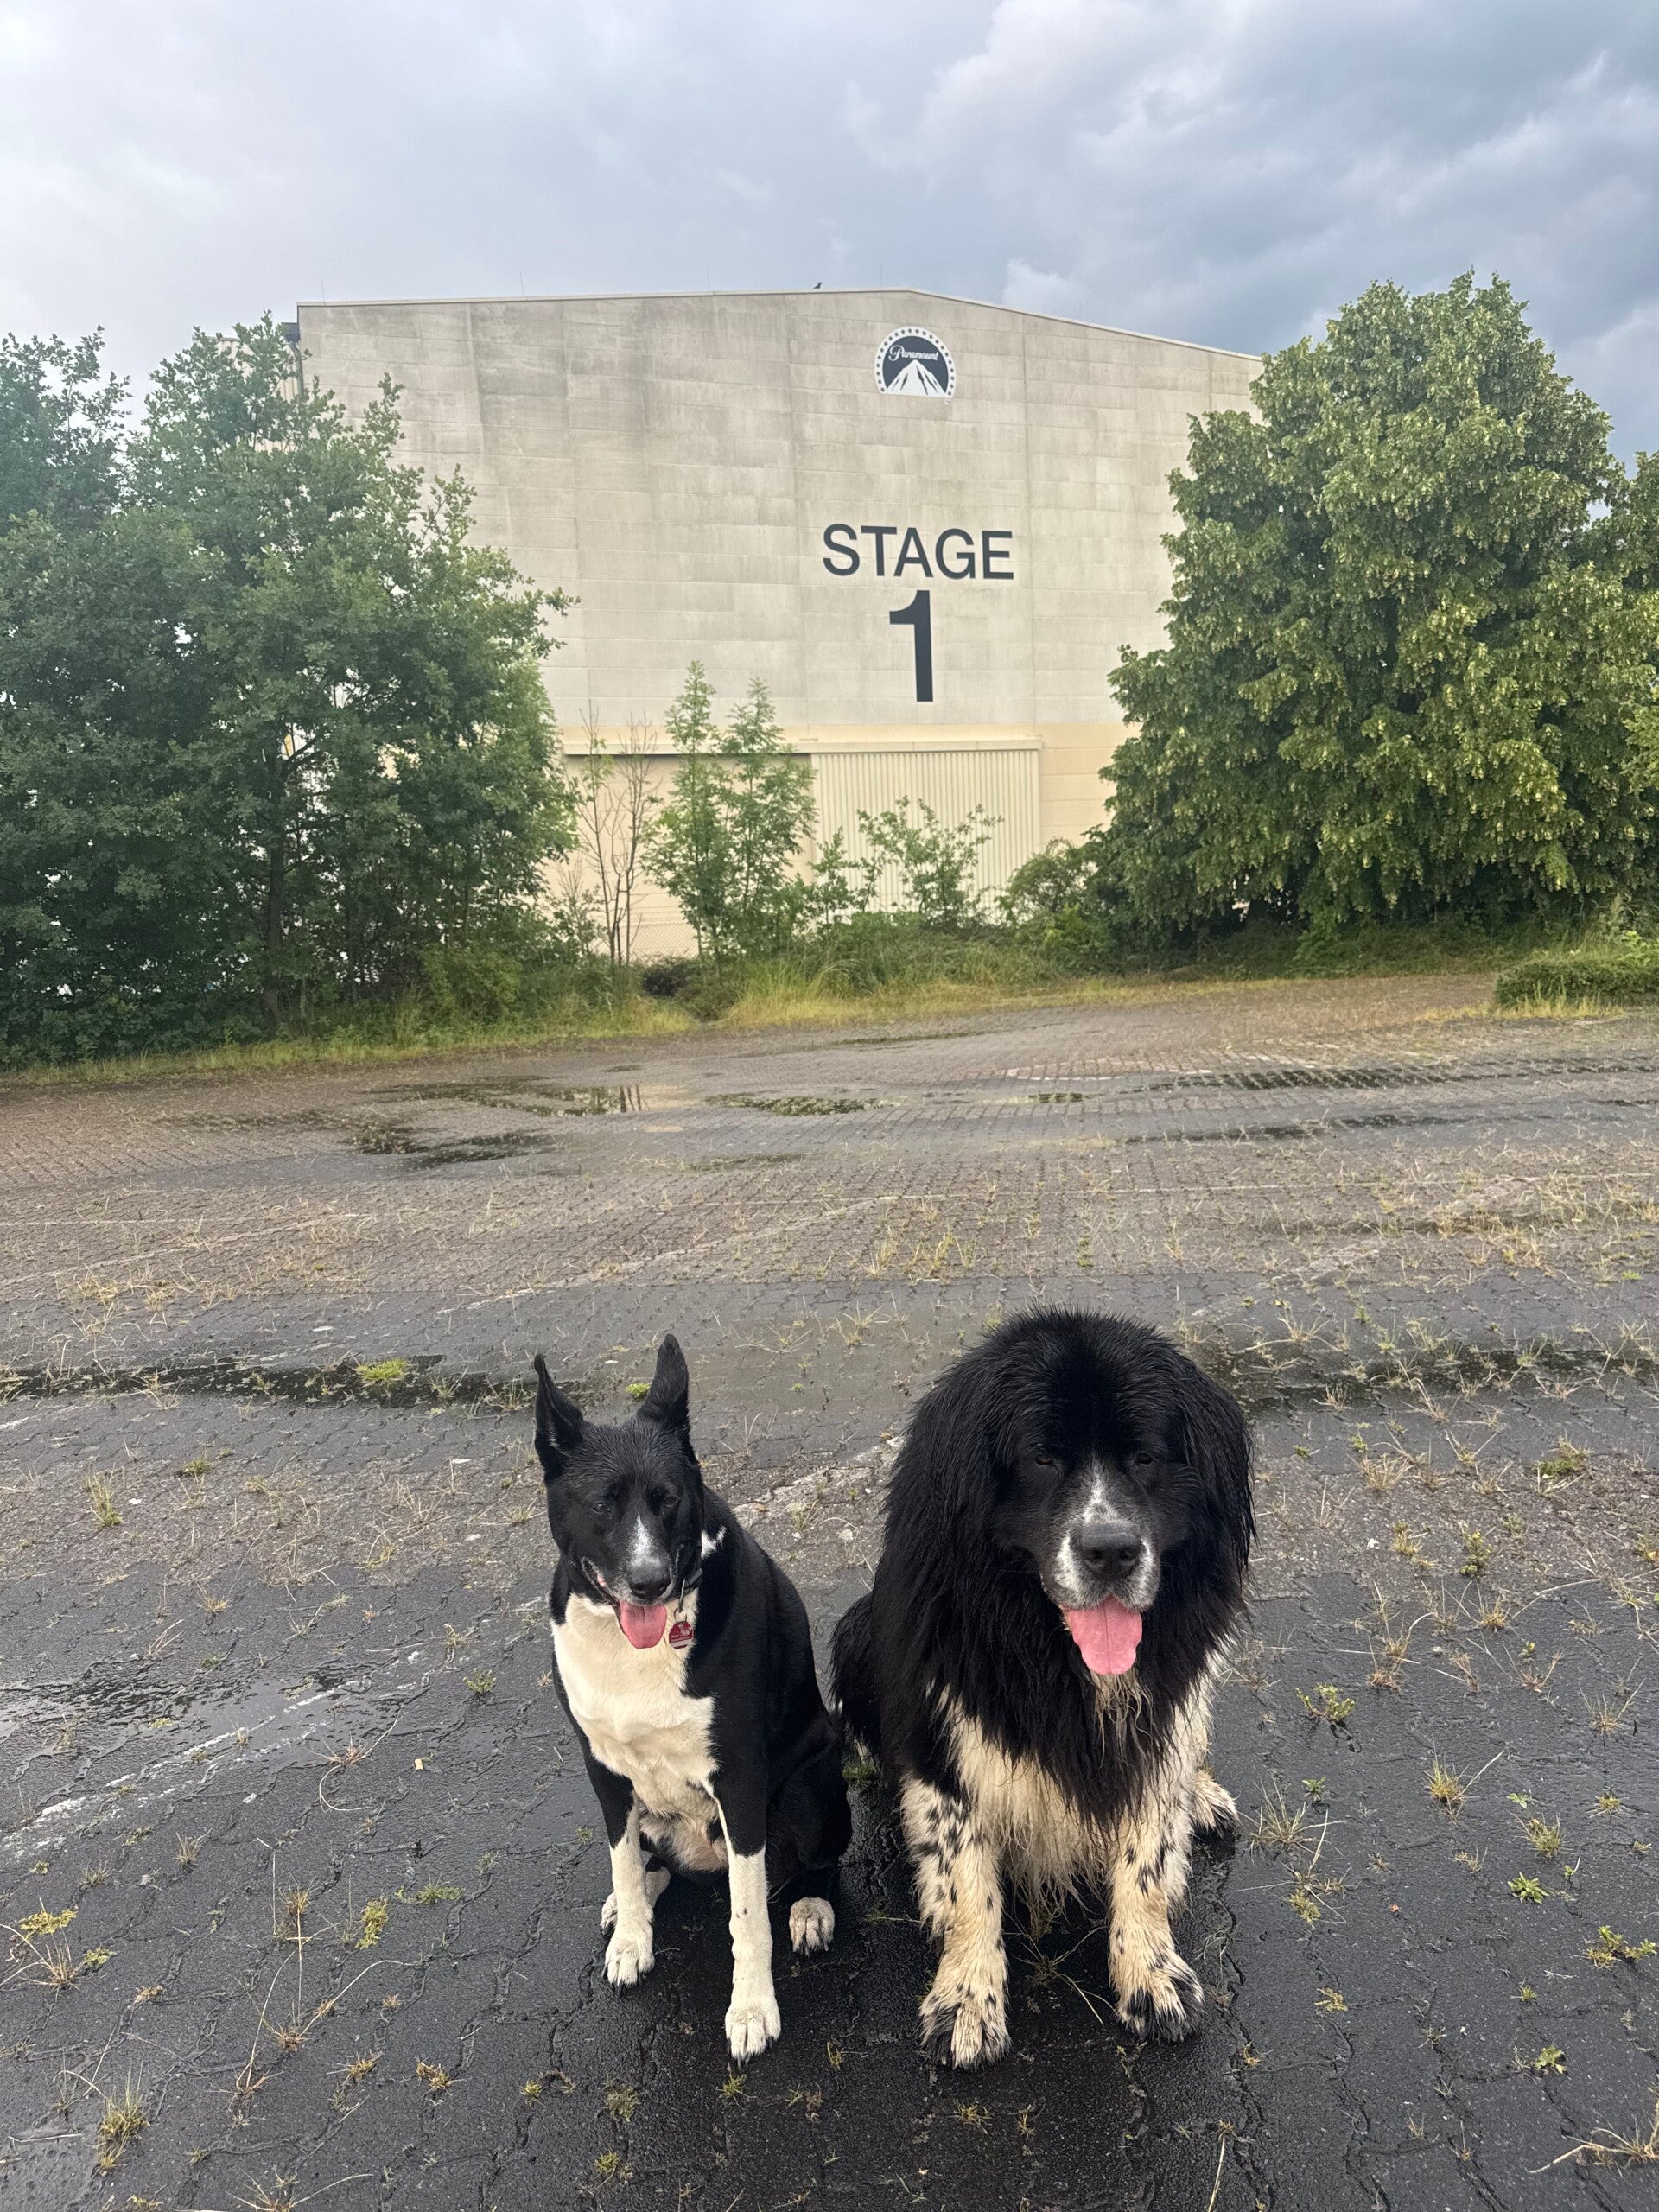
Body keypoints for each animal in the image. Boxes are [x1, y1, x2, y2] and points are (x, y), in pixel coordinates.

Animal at [535, 1335, 851, 2060]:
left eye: (668, 1499)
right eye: (603, 1504)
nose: (650, 1582)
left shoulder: (739, 1777)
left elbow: (748, 1917)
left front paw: (752, 2009)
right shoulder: (602, 1770)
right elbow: (622, 1863)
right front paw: (632, 1938)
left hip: (811, 1780)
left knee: (809, 1864)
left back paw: (810, 1906)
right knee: (651, 1861)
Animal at [831, 1307, 1252, 2066]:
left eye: (1145, 1457)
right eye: (1042, 1459)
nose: (1111, 1551)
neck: (1048, 1646)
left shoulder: (1155, 1718)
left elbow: (1146, 1858)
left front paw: (1151, 1977)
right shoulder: (945, 1733)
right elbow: (967, 1879)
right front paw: (967, 2000)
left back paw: (1200, 1796)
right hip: (855, 1632)